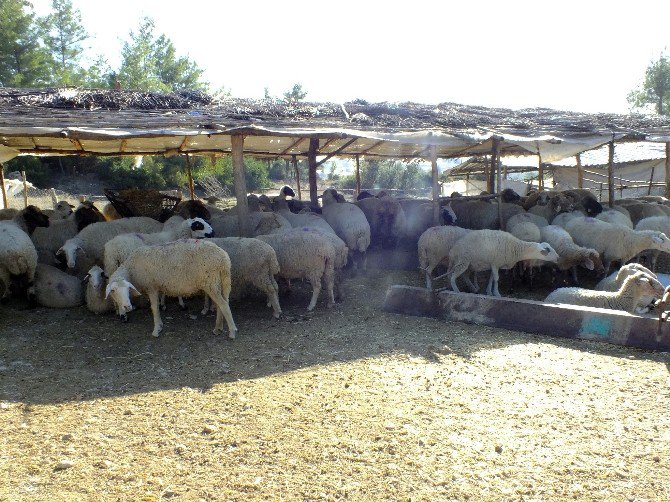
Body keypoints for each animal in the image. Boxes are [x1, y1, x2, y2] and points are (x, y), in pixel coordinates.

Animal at [105, 238, 239, 338]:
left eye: (127, 289)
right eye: (113, 291)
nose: (127, 307)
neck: (132, 268)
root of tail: (223, 258)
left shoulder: (151, 287)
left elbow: (154, 308)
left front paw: (156, 329)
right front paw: (160, 324)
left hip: (211, 282)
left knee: (223, 305)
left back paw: (232, 331)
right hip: (219, 281)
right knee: (222, 303)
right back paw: (218, 328)